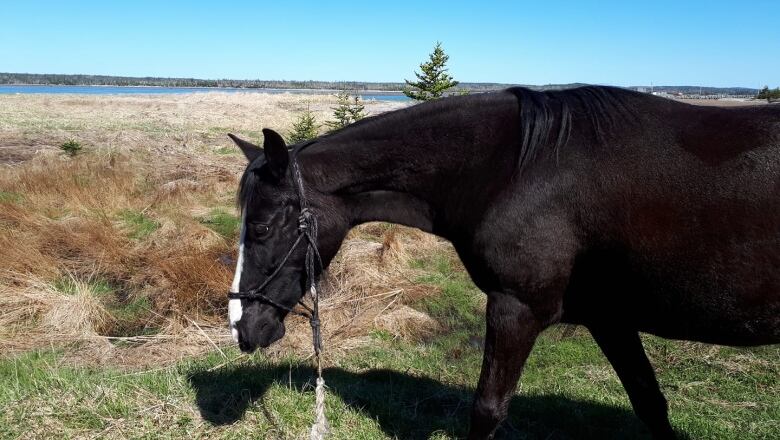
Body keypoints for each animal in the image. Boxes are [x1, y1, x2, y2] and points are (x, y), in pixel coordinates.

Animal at [222, 87, 776, 440]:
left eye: (262, 229)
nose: (241, 327)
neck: (515, 169)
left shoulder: (516, 309)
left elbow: (487, 410)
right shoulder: (609, 317)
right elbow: (650, 402)